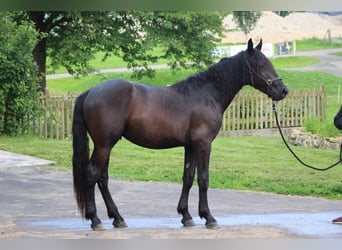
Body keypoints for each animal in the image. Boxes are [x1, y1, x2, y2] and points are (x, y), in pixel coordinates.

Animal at [72, 38, 288, 230]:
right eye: (260, 64)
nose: (283, 90)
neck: (206, 94)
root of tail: (90, 91)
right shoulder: (203, 144)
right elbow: (203, 179)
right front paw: (208, 217)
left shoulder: (190, 146)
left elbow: (188, 177)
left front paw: (186, 216)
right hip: (104, 144)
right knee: (92, 174)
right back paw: (95, 220)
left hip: (107, 145)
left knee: (102, 178)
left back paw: (117, 218)